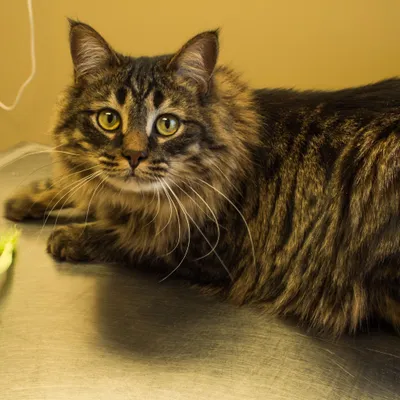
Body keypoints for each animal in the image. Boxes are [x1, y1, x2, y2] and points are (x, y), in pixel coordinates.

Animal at [4, 20, 400, 336]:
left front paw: (70, 235)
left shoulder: (204, 247)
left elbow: (128, 237)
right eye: (109, 119)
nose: (133, 156)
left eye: (167, 124)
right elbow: (75, 186)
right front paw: (22, 199)